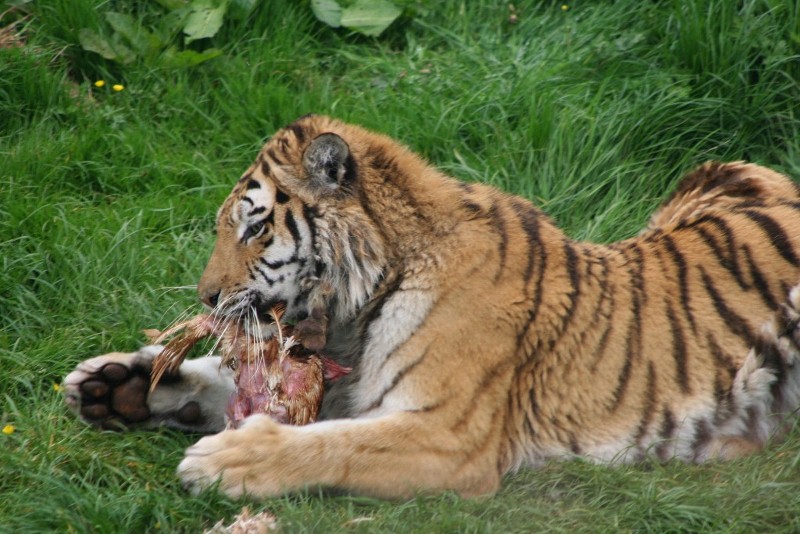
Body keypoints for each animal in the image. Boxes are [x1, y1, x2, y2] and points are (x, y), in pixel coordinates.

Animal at [64, 114, 800, 499]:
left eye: (253, 228)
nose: (207, 297)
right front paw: (117, 383)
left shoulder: (450, 434)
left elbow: (334, 444)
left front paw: (227, 462)